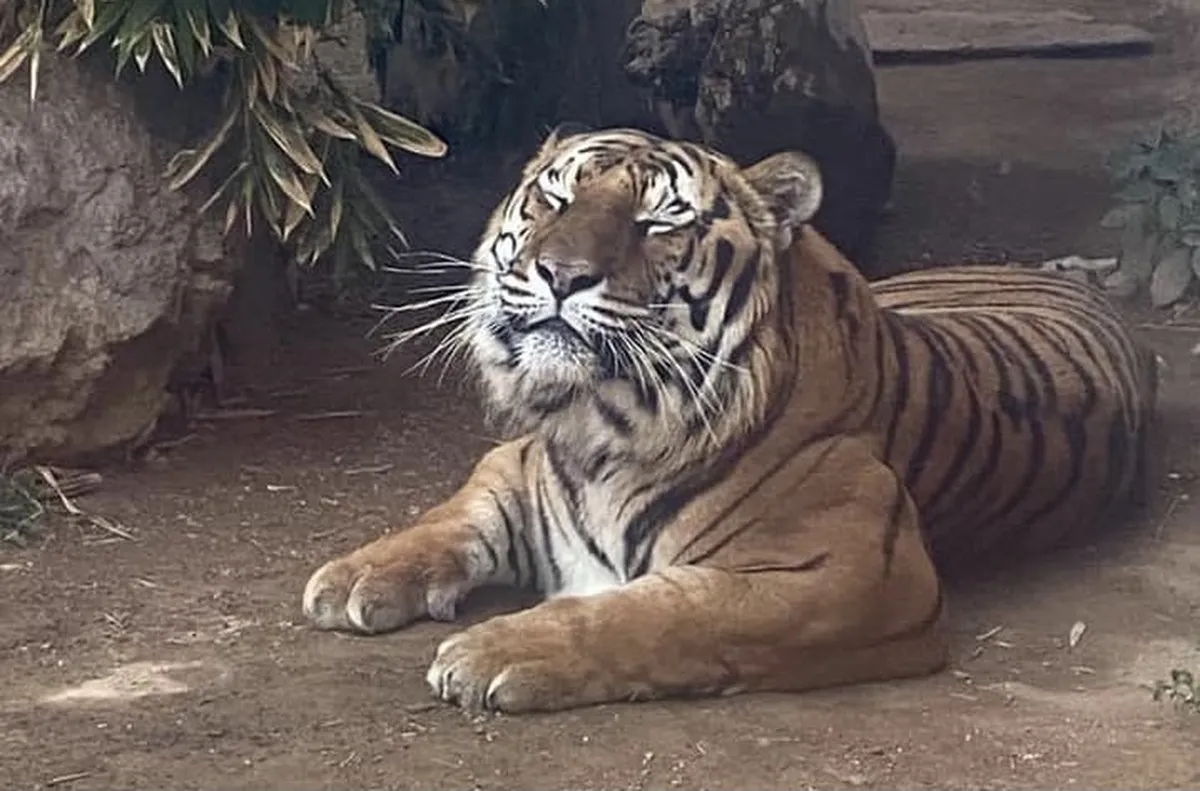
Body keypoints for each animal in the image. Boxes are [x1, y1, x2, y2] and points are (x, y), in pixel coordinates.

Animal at [301, 126, 1160, 714]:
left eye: (658, 223)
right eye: (556, 198)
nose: (560, 274)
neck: (598, 426)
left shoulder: (853, 572)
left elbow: (657, 613)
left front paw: (496, 649)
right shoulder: (517, 462)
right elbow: (450, 517)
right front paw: (353, 576)